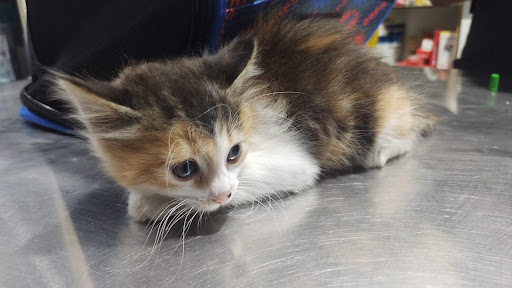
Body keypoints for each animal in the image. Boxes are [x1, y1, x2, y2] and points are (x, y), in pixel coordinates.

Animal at [54, 14, 434, 222]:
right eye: (184, 169)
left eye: (233, 153)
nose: (223, 195)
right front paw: (148, 197)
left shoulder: (294, 161)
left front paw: (151, 204)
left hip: (381, 114)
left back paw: (380, 152)